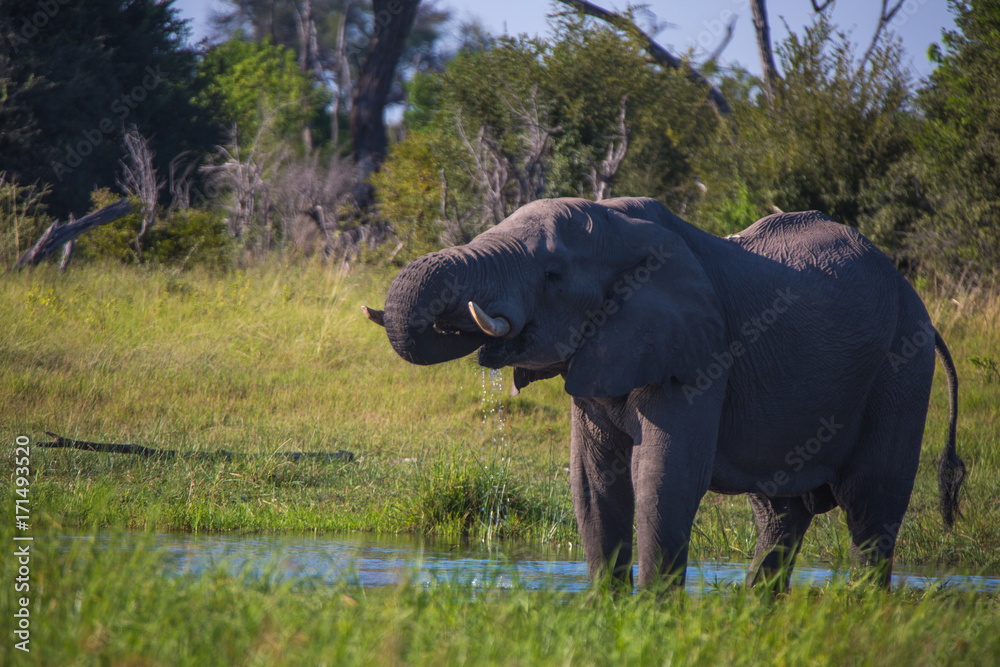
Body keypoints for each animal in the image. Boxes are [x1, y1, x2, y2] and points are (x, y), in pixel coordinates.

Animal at [364, 197, 964, 591]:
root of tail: (919, 304)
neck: (621, 225)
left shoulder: (699, 354)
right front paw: (605, 610)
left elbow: (664, 476)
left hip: (900, 370)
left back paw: (858, 614)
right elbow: (593, 481)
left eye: (553, 273)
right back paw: (754, 613)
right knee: (780, 513)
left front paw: (652, 617)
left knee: (871, 508)